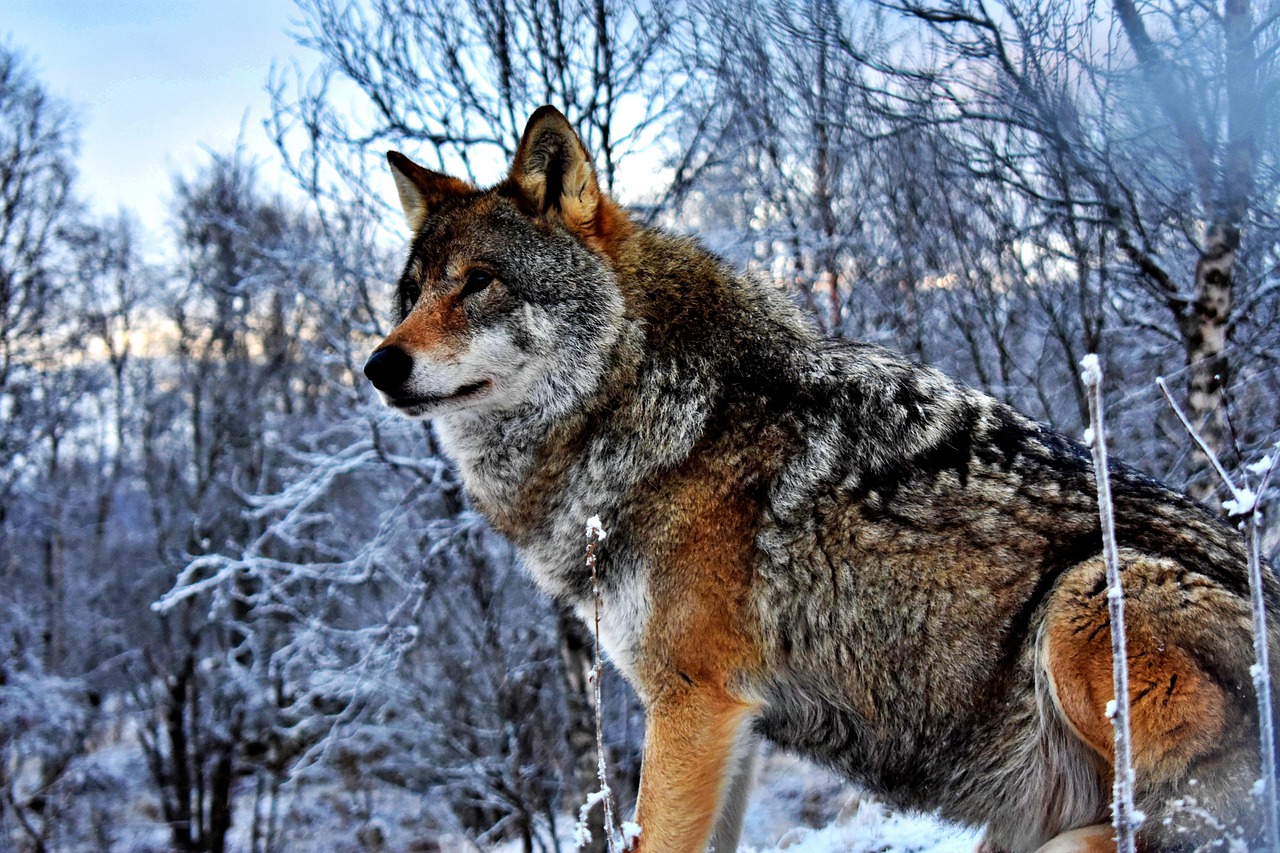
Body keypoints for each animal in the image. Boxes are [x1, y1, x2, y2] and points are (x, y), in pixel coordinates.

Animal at [363, 105, 1279, 852]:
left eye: (479, 283)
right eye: (410, 293)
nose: (377, 364)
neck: (654, 406)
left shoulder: (692, 705)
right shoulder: (729, 723)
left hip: (1085, 594)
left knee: (1178, 820)